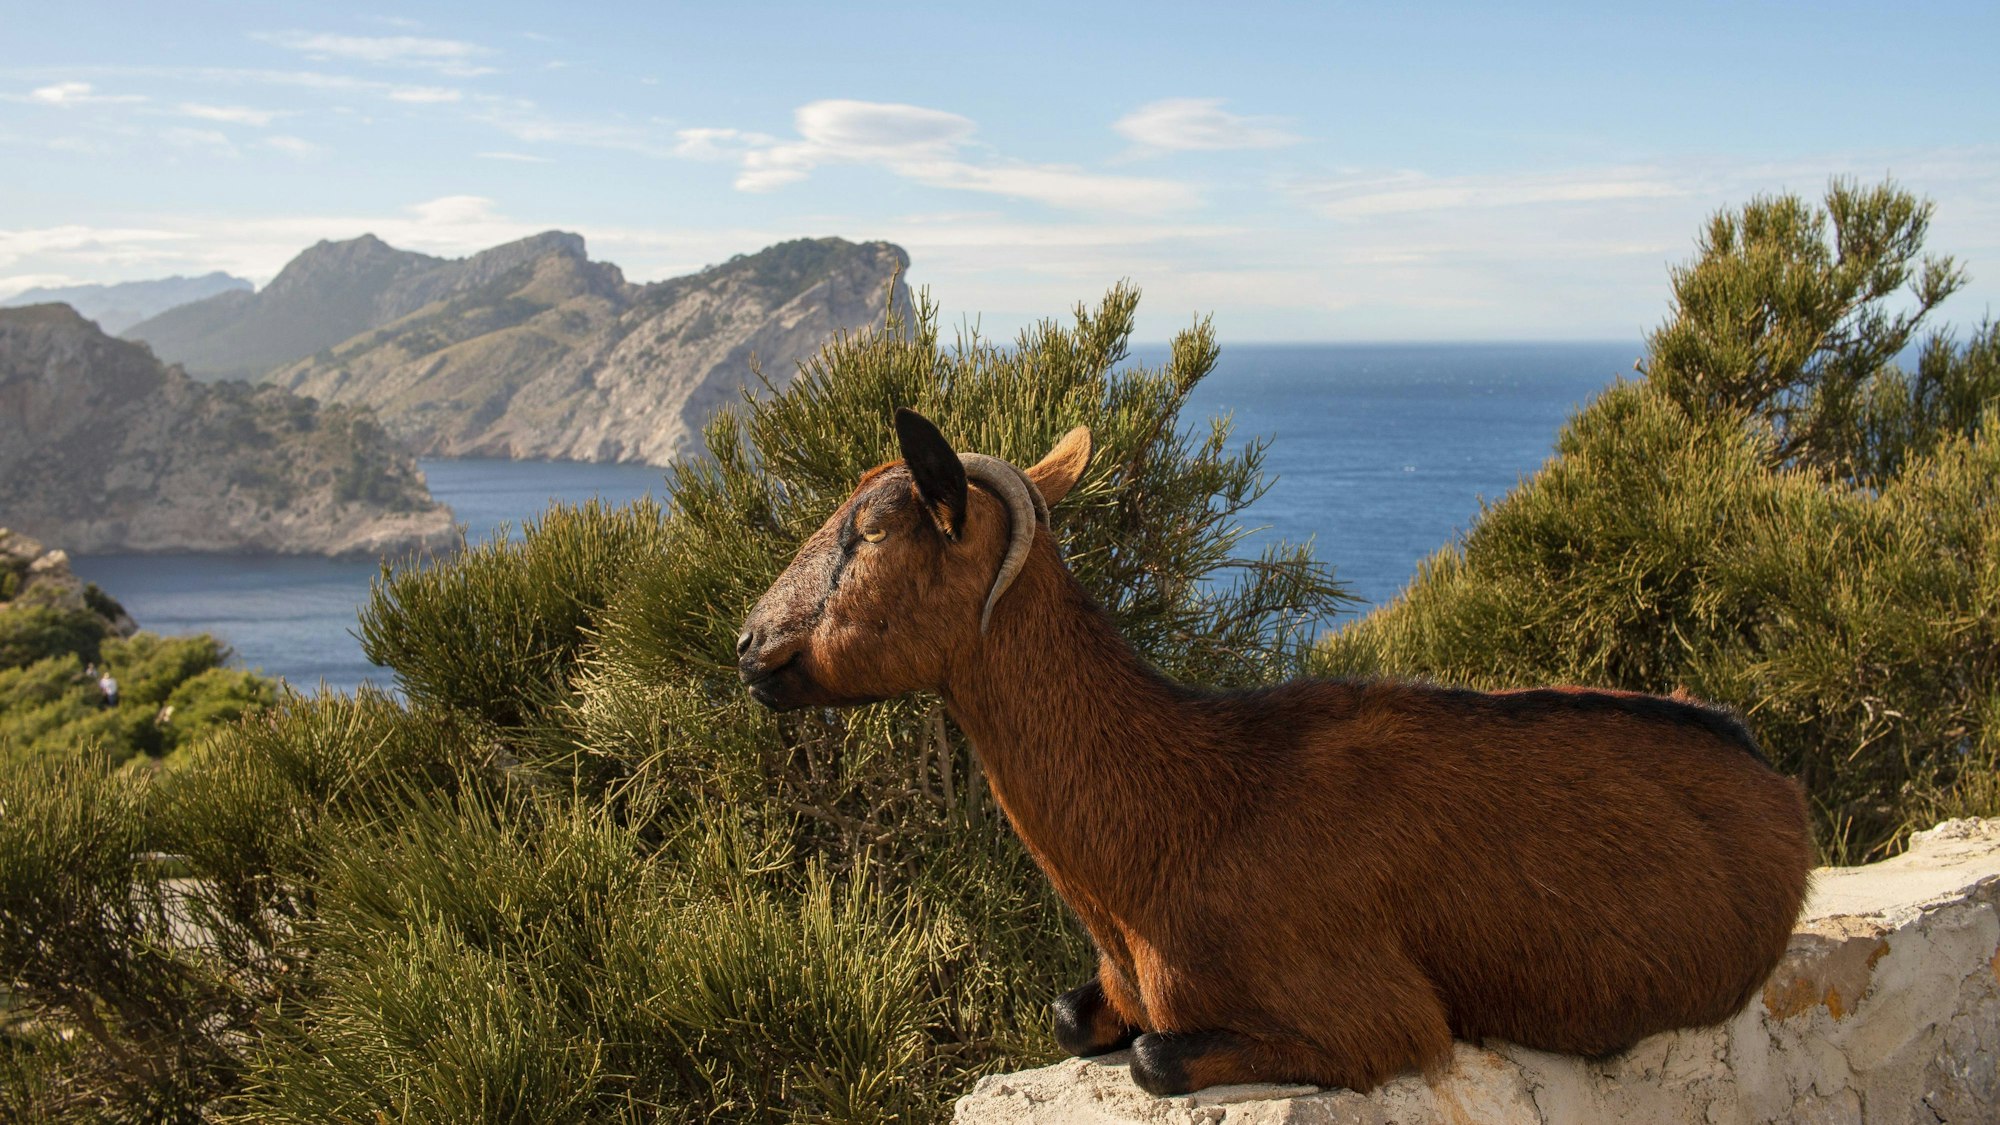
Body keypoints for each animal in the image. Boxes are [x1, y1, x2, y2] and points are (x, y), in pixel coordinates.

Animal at [737, 409, 1814, 1096]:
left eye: (870, 530)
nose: (749, 644)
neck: (1182, 814)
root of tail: (1773, 776)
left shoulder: (1377, 1016)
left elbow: (1154, 1058)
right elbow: (1069, 1016)